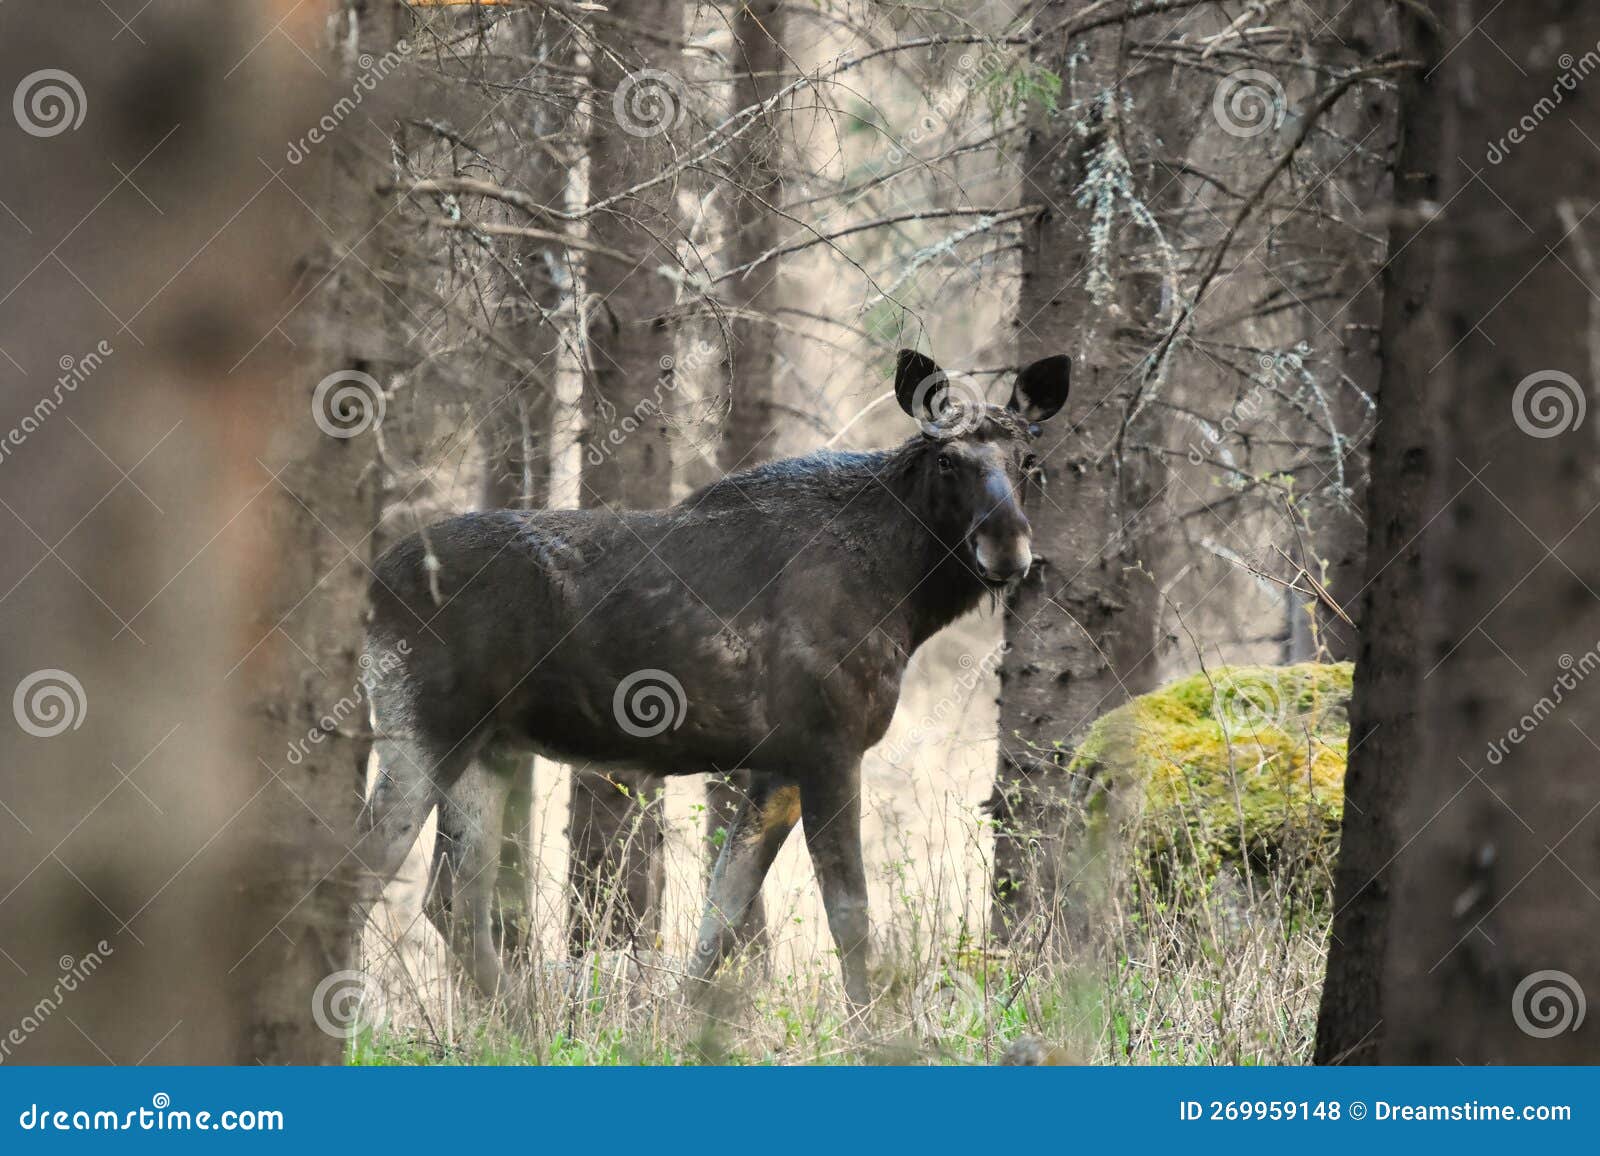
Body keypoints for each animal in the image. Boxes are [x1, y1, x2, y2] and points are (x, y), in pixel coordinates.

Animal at [352, 348, 1071, 1008]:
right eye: (948, 460)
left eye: (1029, 461)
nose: (1008, 547)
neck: (905, 596)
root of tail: (371, 586)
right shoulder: (830, 747)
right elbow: (850, 914)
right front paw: (871, 1029)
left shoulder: (778, 765)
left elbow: (720, 918)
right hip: (424, 730)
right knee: (362, 872)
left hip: (487, 748)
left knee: (451, 900)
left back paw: (520, 1023)